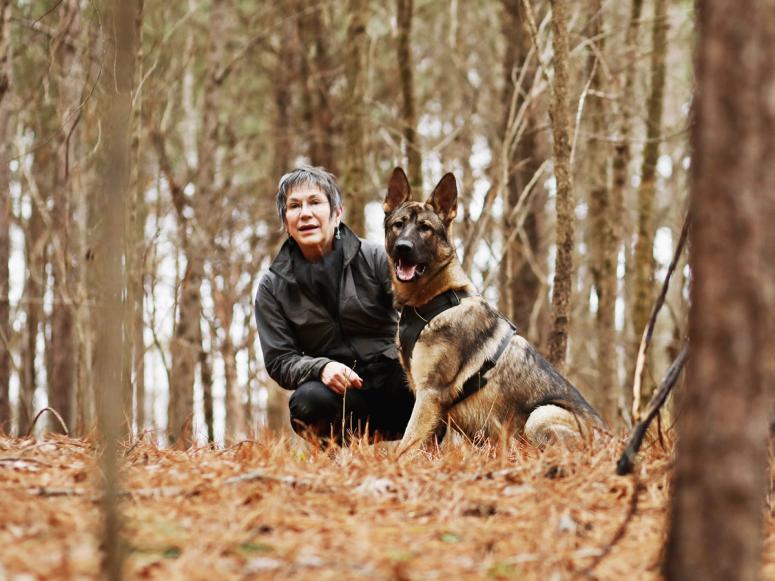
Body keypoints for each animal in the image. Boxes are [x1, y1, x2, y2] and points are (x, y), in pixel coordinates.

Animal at [382, 168, 608, 454]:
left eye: (425, 229)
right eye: (398, 225)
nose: (403, 247)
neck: (435, 301)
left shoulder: (430, 394)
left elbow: (406, 445)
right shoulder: (432, 406)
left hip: (540, 415)